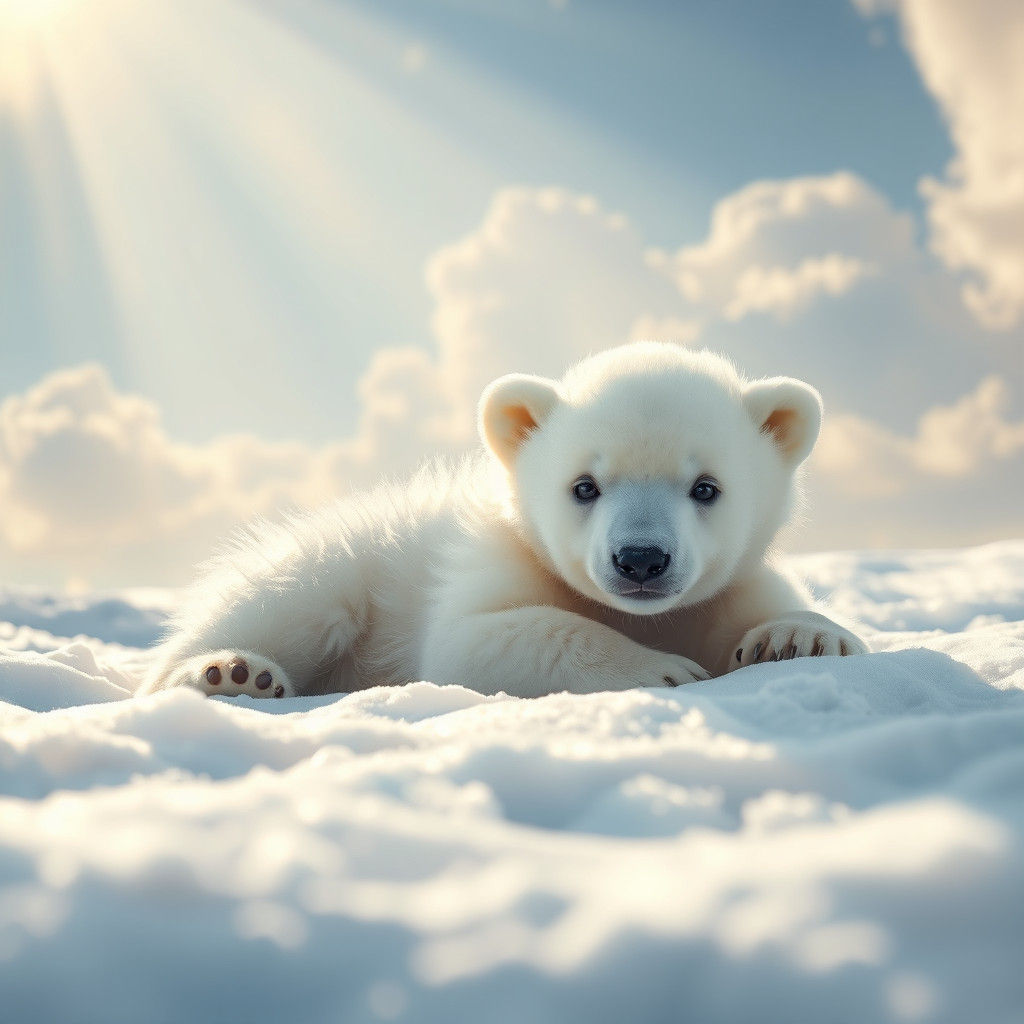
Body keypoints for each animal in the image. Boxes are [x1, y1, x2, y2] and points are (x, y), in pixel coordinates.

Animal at [141, 342, 867, 700]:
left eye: (706, 487)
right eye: (584, 486)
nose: (640, 559)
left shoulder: (727, 588)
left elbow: (777, 612)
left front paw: (800, 638)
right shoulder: (493, 562)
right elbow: (482, 638)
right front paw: (662, 670)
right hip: (341, 564)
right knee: (279, 603)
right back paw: (229, 674)